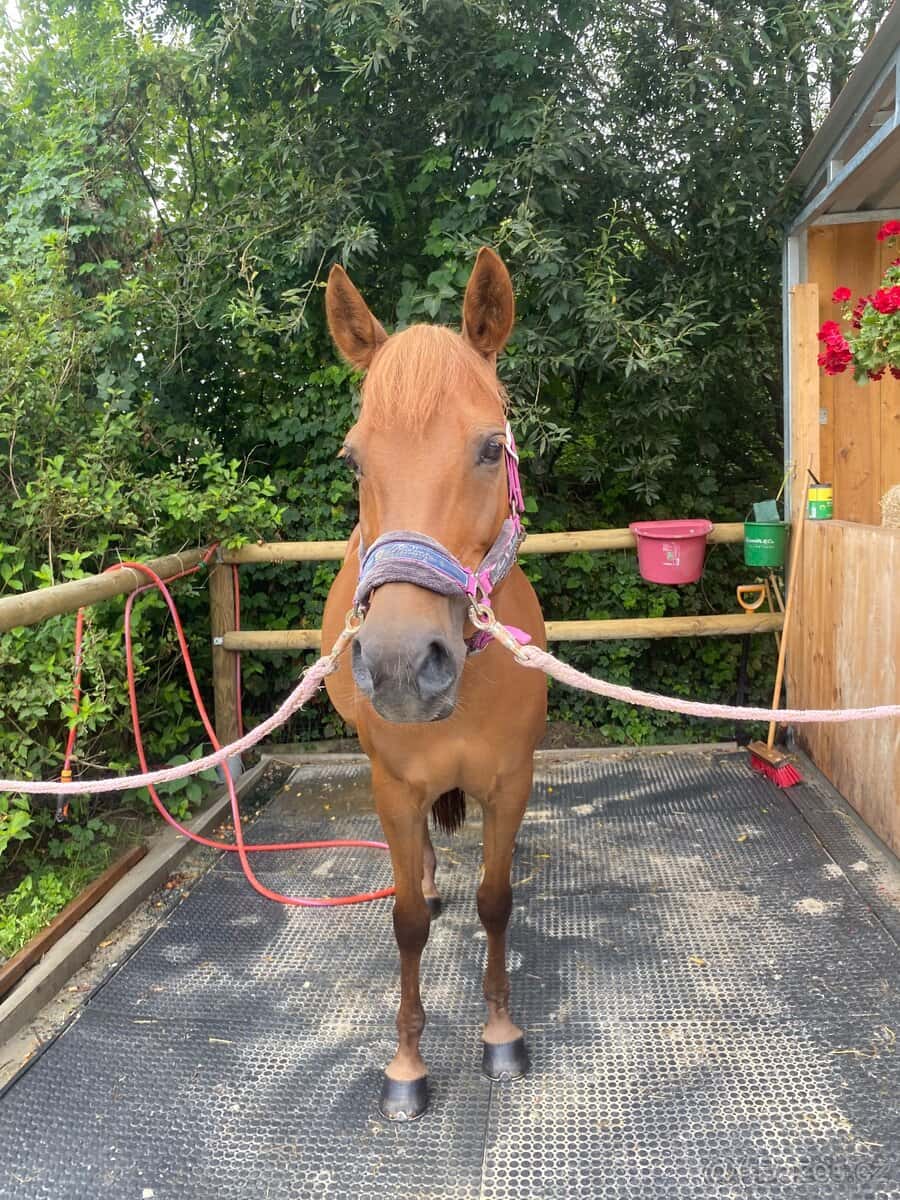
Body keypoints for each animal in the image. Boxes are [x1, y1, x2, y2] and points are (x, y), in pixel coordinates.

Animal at [320, 247, 548, 1121]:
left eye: (489, 448)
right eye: (354, 460)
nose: (398, 666)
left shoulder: (511, 782)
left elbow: (496, 902)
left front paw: (500, 1035)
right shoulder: (393, 787)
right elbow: (408, 923)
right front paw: (407, 1065)